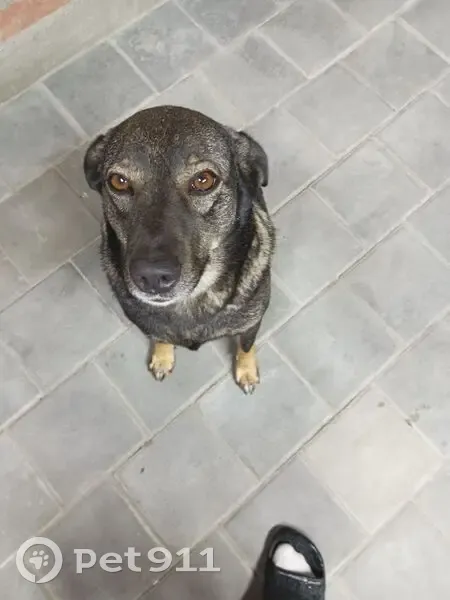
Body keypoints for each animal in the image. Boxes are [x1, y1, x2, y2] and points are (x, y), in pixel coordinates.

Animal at [84, 105, 275, 394]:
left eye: (204, 180)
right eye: (118, 181)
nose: (152, 276)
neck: (190, 302)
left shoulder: (251, 323)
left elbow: (245, 347)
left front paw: (247, 372)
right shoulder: (153, 327)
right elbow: (162, 337)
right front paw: (163, 357)